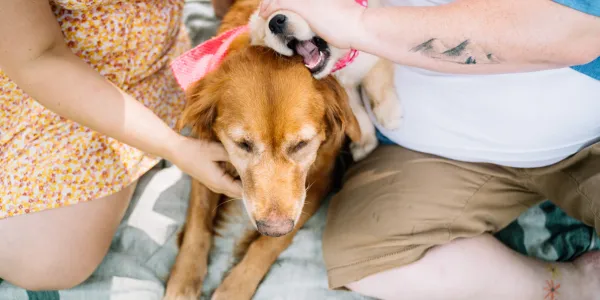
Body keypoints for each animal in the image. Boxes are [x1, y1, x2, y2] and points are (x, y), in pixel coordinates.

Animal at [248, 0, 404, 162]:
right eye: (266, 27)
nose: (275, 22)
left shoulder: (370, 55)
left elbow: (376, 84)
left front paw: (388, 114)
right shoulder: (341, 94)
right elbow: (357, 113)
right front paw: (365, 142)